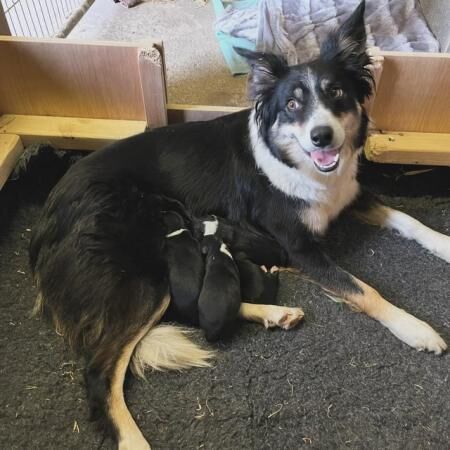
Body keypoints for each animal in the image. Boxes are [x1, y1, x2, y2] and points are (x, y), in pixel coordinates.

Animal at [29, 0, 448, 450]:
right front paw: (416, 328)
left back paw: (274, 313)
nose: (322, 137)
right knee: (99, 372)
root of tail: (48, 214)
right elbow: (364, 289)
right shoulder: (298, 246)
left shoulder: (348, 193)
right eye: (292, 105)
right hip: (140, 274)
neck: (294, 159)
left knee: (188, 307)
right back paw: (133, 438)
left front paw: (444, 243)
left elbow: (408, 219)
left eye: (336, 93)